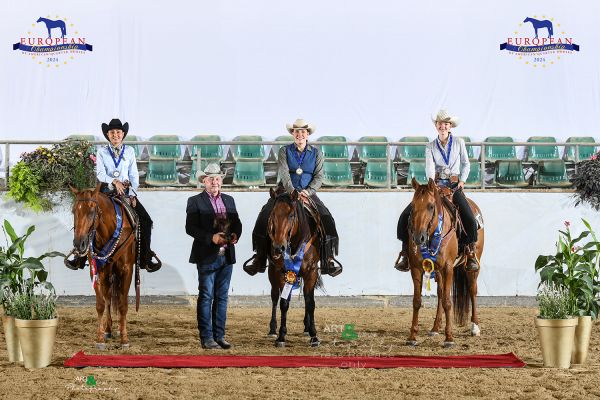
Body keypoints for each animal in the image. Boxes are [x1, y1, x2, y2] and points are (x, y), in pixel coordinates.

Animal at [69, 183, 138, 348]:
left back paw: (119, 329)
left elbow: (123, 304)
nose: (79, 243)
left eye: (92, 211)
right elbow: (101, 303)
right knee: (108, 298)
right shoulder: (97, 270)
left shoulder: (127, 270)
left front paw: (124, 338)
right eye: (74, 211)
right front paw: (100, 338)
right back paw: (108, 330)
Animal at [268, 188, 324, 346]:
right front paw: (281, 336)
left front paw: (314, 335)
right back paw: (272, 330)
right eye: (273, 214)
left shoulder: (311, 272)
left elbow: (310, 302)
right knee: (274, 296)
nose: (278, 248)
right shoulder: (282, 273)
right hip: (272, 272)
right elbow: (284, 303)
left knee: (306, 296)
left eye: (291, 215)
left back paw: (307, 327)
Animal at [406, 178, 486, 346]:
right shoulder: (416, 268)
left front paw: (449, 338)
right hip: (437, 271)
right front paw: (412, 337)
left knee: (472, 289)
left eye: (431, 206)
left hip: (472, 265)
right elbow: (417, 301)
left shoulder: (448, 267)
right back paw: (435, 328)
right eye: (413, 206)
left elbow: (448, 302)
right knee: (441, 293)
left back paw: (475, 327)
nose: (418, 238)